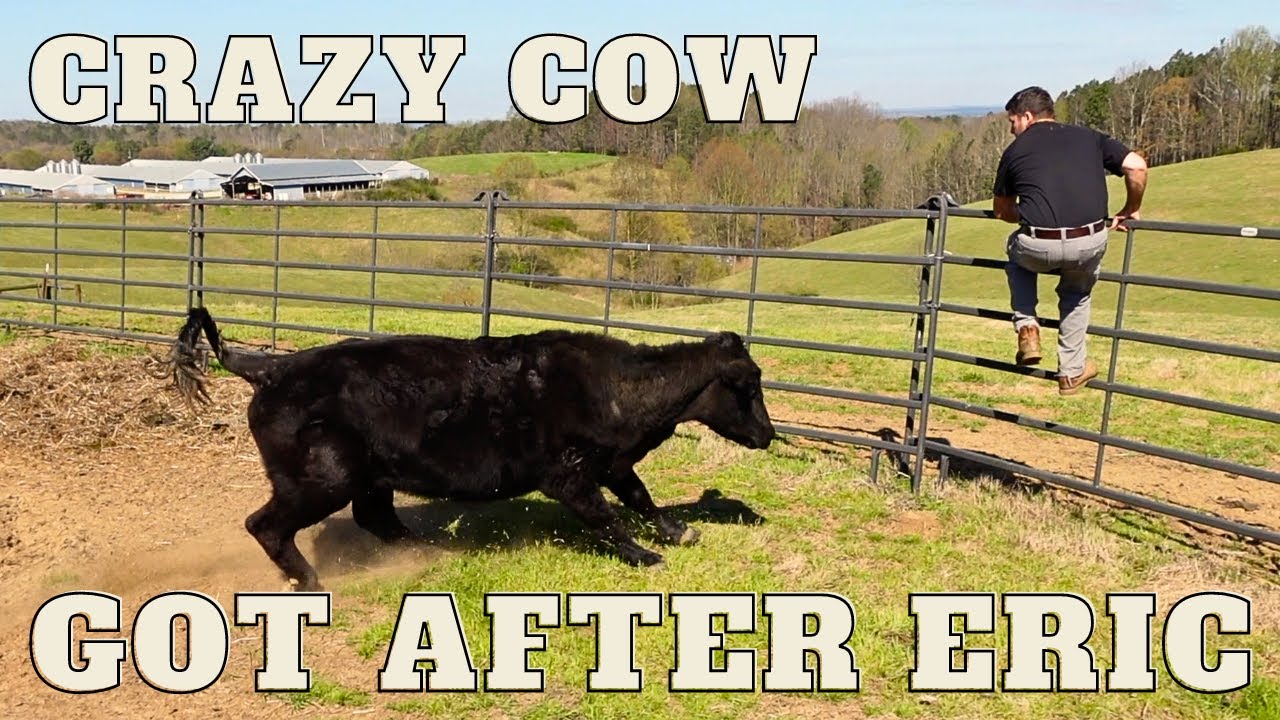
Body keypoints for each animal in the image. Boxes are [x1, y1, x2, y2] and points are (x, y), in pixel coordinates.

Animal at [162, 307, 775, 591]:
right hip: (321, 479)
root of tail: (271, 368)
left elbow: (641, 498)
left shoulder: (613, 464)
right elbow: (607, 517)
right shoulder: (570, 475)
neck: (614, 387)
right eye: (749, 386)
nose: (769, 435)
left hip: (371, 479)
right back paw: (311, 582)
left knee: (376, 519)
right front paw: (646, 556)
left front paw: (678, 531)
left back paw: (430, 552)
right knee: (266, 525)